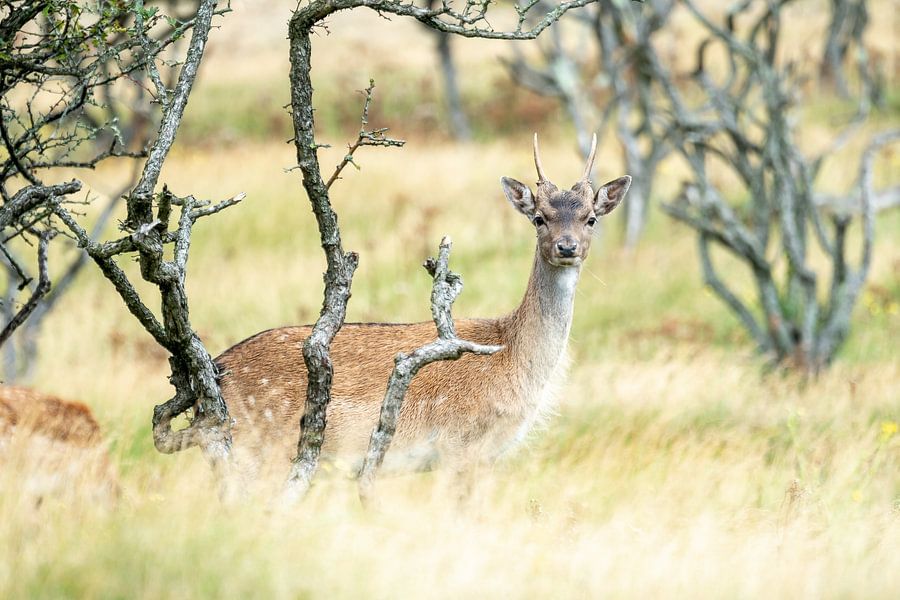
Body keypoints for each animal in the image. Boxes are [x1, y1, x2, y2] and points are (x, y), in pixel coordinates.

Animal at [214, 135, 628, 478]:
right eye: (540, 218)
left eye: (590, 219)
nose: (567, 247)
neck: (512, 358)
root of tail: (219, 367)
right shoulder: (459, 444)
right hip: (258, 446)